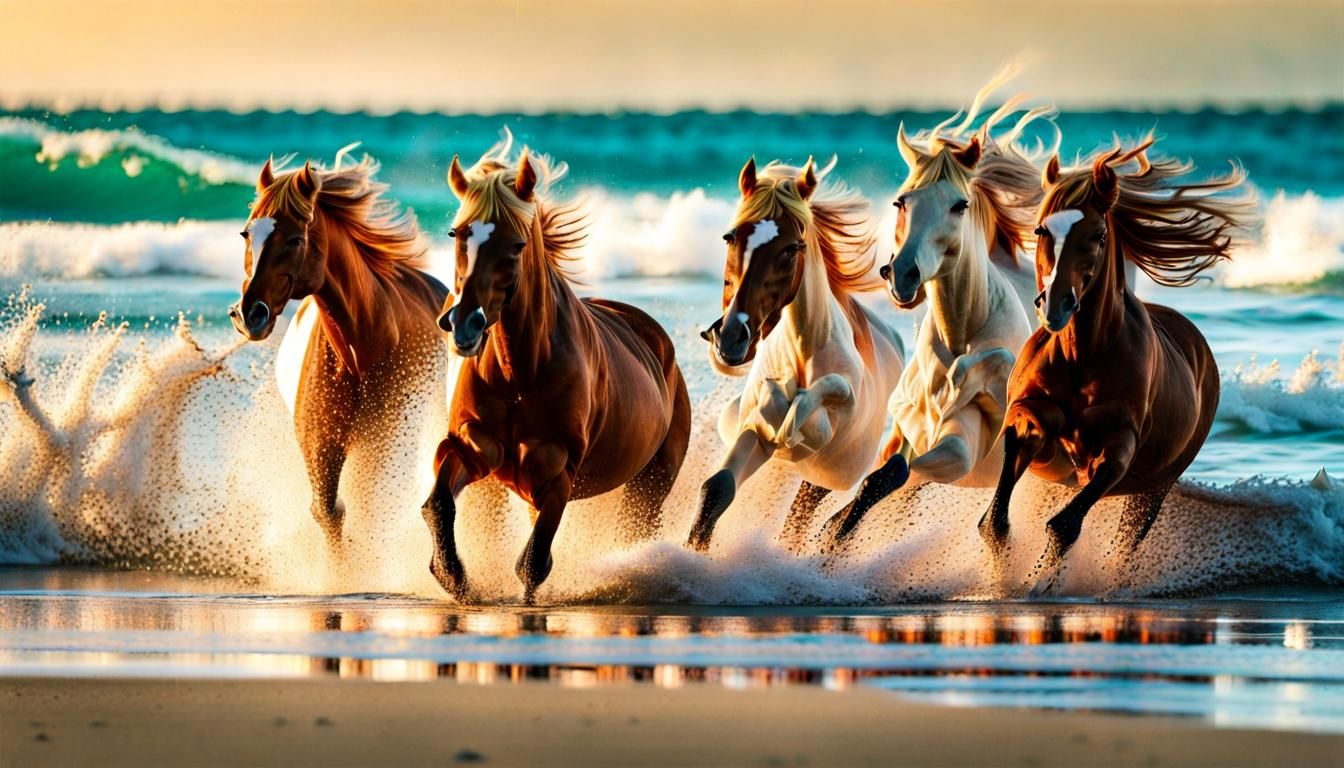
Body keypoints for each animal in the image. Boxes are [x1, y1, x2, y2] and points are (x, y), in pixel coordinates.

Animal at [229, 152, 450, 550]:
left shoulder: (383, 443)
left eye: (294, 239)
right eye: (246, 233)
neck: (361, 348)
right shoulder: (321, 449)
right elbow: (328, 513)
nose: (249, 315)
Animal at [421, 135, 691, 604]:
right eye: (457, 233)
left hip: (651, 485)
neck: (519, 375)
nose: (464, 324)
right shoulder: (474, 448)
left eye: (516, 244)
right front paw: (454, 578)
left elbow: (532, 565)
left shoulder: (556, 473)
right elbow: (438, 503)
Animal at [689, 156, 905, 551]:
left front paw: (793, 415)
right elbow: (718, 487)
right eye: (731, 237)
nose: (730, 338)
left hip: (821, 478)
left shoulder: (823, 432)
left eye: (791, 248)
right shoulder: (755, 434)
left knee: (804, 517)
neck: (803, 353)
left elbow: (822, 398)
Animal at [821, 90, 1052, 544]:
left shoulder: (966, 444)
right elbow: (882, 475)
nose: (902, 274)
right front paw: (833, 532)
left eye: (959, 205)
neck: (961, 335)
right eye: (901, 201)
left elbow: (895, 474)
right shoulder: (909, 428)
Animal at [979, 137, 1254, 588]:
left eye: (1098, 234)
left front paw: (1040, 580)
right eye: (1040, 229)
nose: (1055, 305)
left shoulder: (1118, 446)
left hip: (1154, 489)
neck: (1081, 354)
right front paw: (1002, 577)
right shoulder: (1029, 414)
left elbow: (1064, 525)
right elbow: (995, 520)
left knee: (1127, 539)